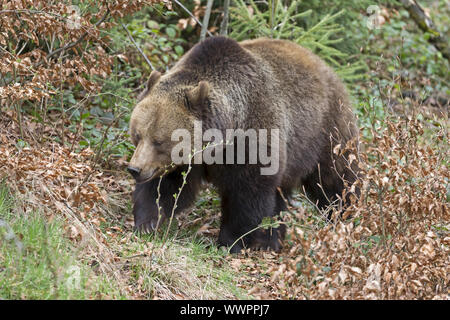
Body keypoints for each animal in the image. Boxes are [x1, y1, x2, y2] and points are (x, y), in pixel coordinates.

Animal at [126, 36, 358, 254]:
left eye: (159, 141)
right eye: (137, 134)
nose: (134, 169)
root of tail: (325, 65)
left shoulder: (254, 138)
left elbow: (247, 194)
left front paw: (230, 242)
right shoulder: (187, 161)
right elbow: (167, 187)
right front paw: (147, 223)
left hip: (326, 132)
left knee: (336, 180)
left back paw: (347, 216)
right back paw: (273, 240)